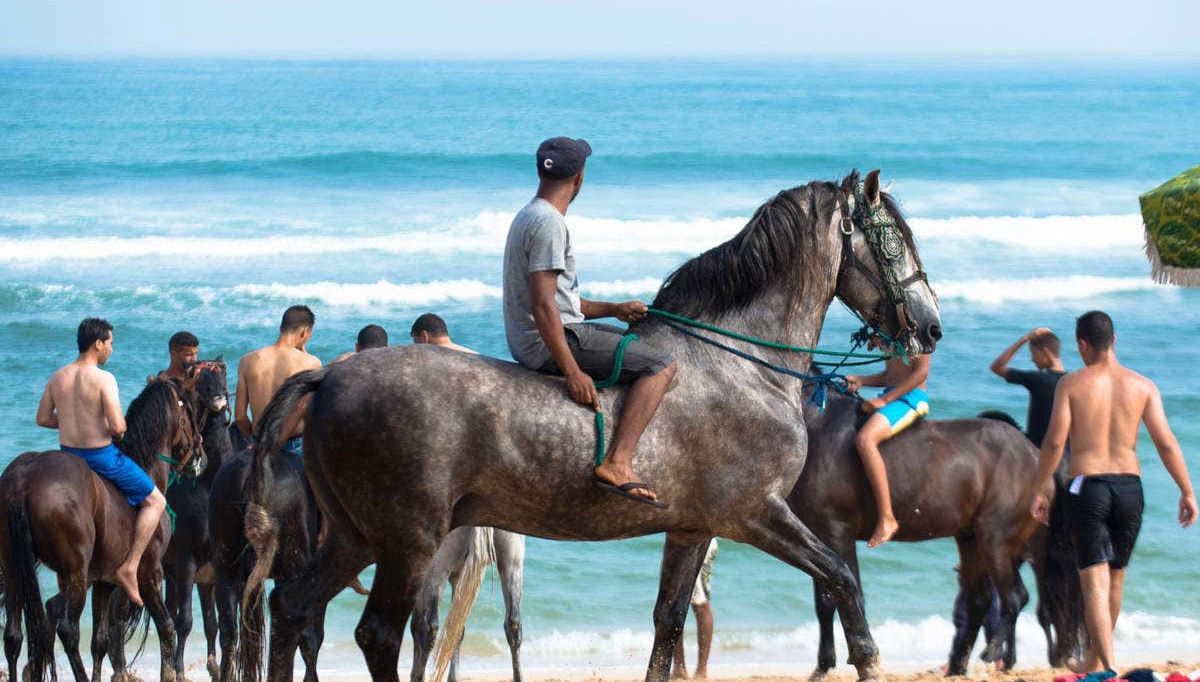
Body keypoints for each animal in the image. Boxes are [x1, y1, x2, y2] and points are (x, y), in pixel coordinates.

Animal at [0, 378, 200, 682]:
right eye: (190, 409)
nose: (200, 455)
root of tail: (23, 480)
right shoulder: (149, 572)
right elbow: (166, 629)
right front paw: (168, 673)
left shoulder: (105, 581)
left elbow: (100, 641)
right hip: (74, 574)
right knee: (68, 631)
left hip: (15, 569)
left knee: (13, 635)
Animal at [411, 527, 526, 682]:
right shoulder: (459, 576)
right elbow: (455, 630)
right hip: (512, 560)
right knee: (514, 624)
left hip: (436, 565)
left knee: (428, 628)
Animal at [790, 394, 1081, 677]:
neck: (819, 423)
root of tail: (1036, 455)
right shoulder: (816, 532)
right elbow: (825, 603)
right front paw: (823, 666)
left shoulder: (837, 532)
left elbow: (847, 595)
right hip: (971, 541)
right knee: (980, 602)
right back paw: (957, 667)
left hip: (995, 543)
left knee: (1014, 598)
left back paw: (988, 657)